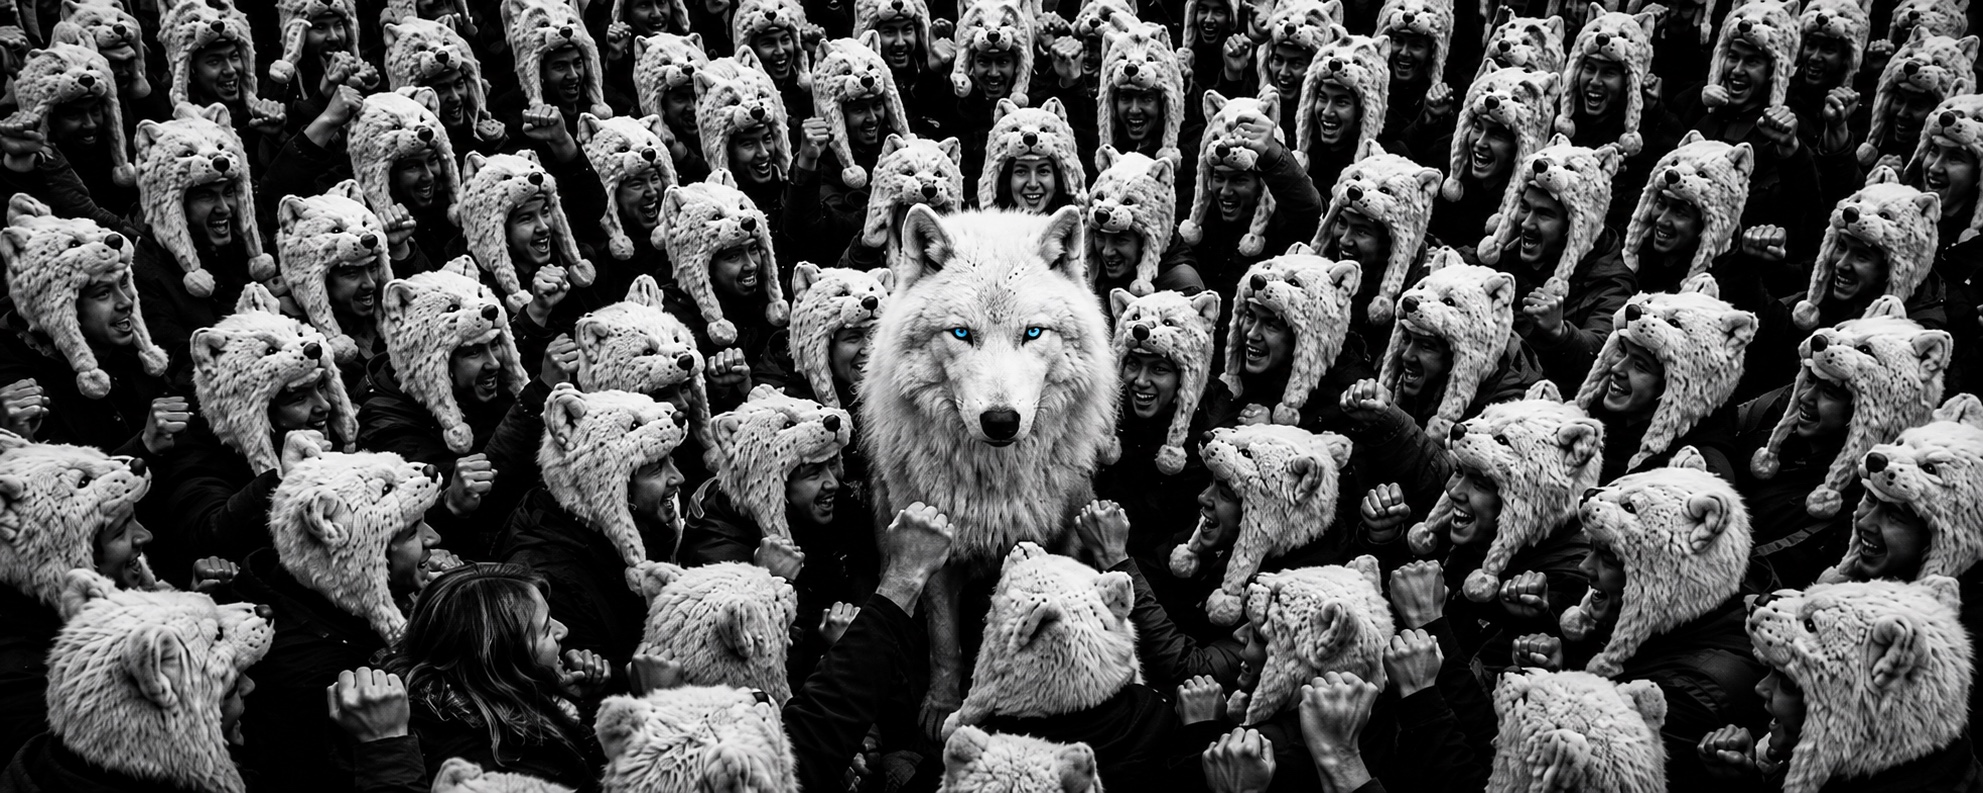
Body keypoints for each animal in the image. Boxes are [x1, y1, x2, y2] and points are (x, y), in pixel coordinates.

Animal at [861, 205, 1119, 734]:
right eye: (962, 333)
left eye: (1033, 332)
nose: (1001, 421)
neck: (995, 487)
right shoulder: (938, 550)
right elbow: (944, 642)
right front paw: (941, 706)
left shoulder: (1061, 536)